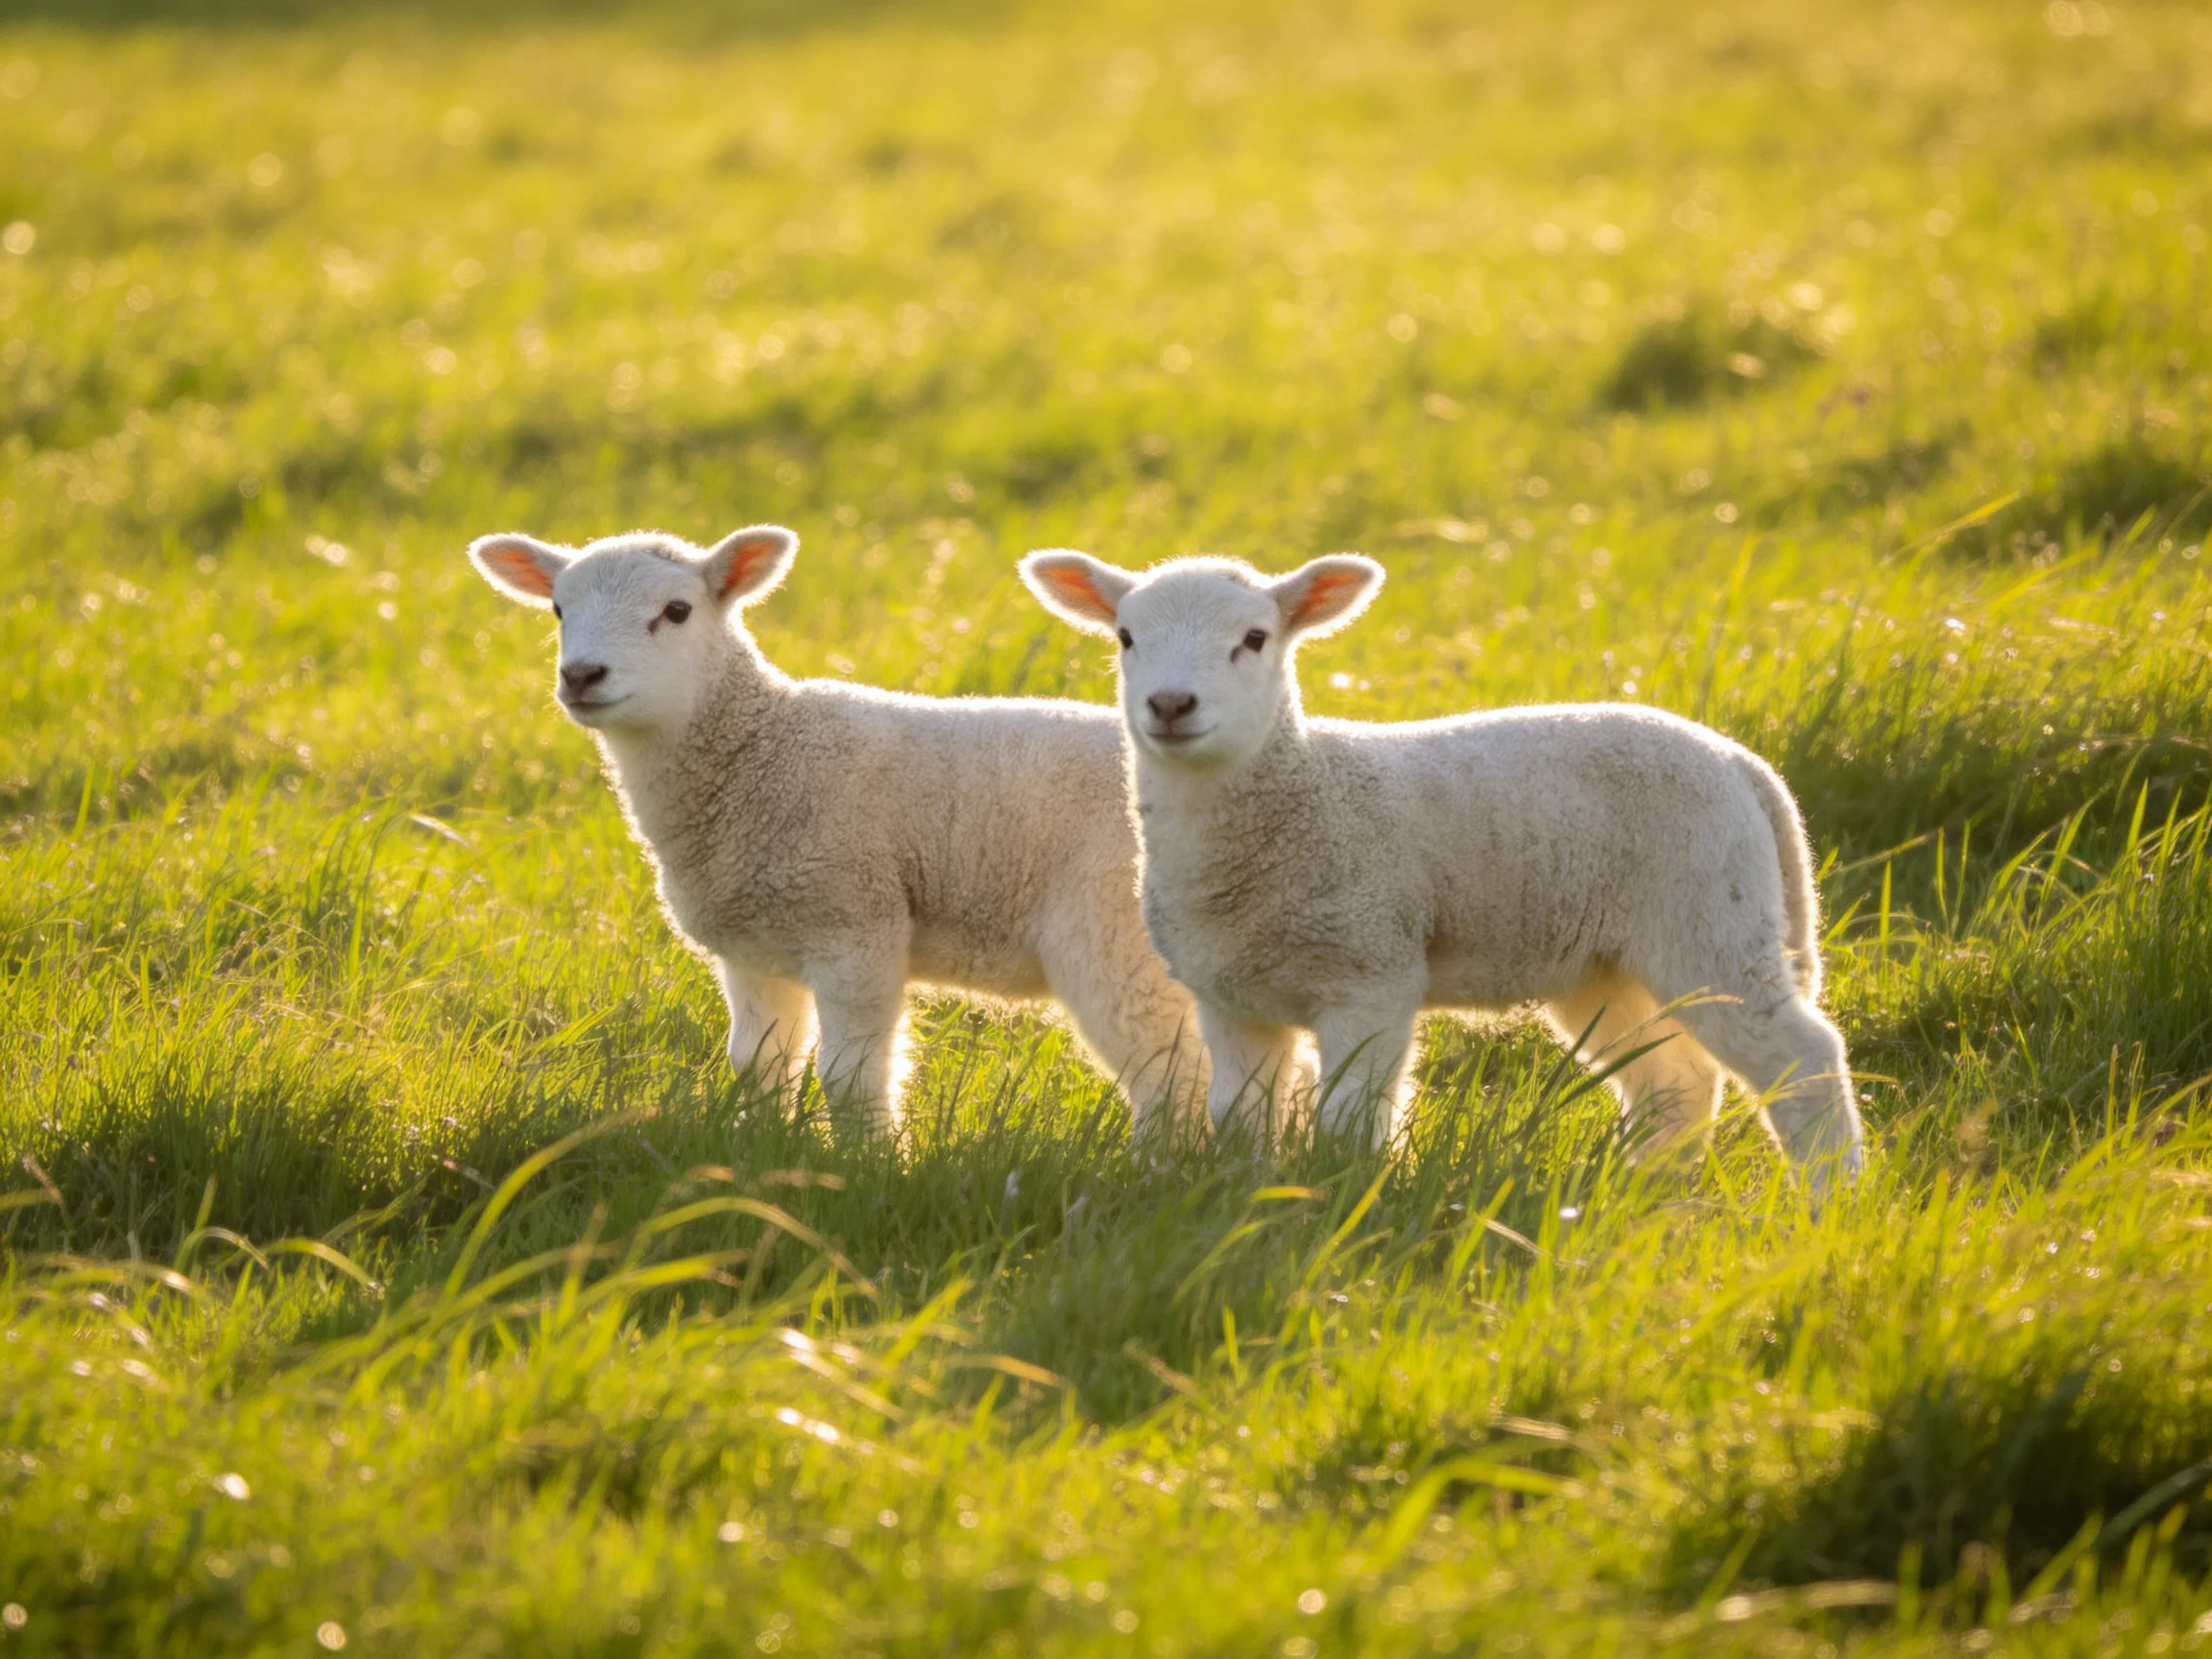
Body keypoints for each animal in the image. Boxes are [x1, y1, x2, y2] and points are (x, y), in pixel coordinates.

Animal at [468, 524, 1205, 1135]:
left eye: (676, 611)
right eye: (558, 610)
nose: (582, 675)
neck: (760, 753)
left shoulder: (856, 924)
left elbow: (849, 1078)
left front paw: (872, 1165)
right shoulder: (754, 949)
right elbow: (759, 1067)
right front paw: (758, 1152)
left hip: (1114, 933)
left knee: (1173, 1074)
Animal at [1019, 548, 1864, 1192]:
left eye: (1254, 638)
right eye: (1126, 637)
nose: (1170, 705)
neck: (1300, 796)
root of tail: (1742, 763)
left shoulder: (1372, 972)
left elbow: (1348, 1116)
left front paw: (1341, 1197)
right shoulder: (1229, 998)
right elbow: (1239, 1115)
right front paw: (1246, 1194)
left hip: (1710, 915)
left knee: (1801, 1056)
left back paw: (1832, 1199)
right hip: (1610, 964)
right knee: (1677, 1081)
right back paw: (1646, 1191)